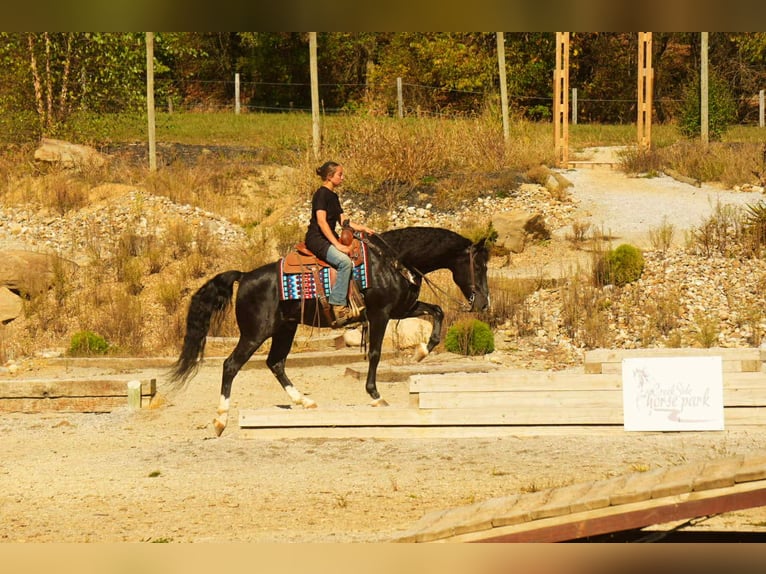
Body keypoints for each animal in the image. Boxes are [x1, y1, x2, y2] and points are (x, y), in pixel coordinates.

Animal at [168, 226, 491, 436]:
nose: (483, 302)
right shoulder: (381, 314)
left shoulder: (401, 309)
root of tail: (245, 276)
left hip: (285, 329)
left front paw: (422, 353)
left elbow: (437, 312)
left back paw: (304, 401)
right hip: (255, 333)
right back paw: (221, 420)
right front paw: (375, 395)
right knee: (231, 365)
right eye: (479, 266)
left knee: (276, 363)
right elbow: (375, 354)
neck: (393, 261)